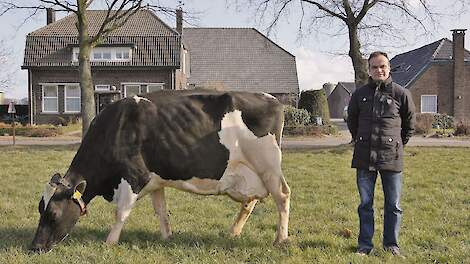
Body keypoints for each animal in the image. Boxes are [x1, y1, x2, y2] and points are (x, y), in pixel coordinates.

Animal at [31, 89, 288, 253]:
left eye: (53, 214)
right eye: (40, 209)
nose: (35, 247)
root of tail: (271, 98)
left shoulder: (135, 176)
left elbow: (121, 213)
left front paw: (110, 243)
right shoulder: (156, 181)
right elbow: (161, 211)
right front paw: (167, 237)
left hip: (268, 165)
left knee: (282, 196)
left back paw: (280, 239)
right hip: (250, 171)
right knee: (250, 201)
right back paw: (233, 232)